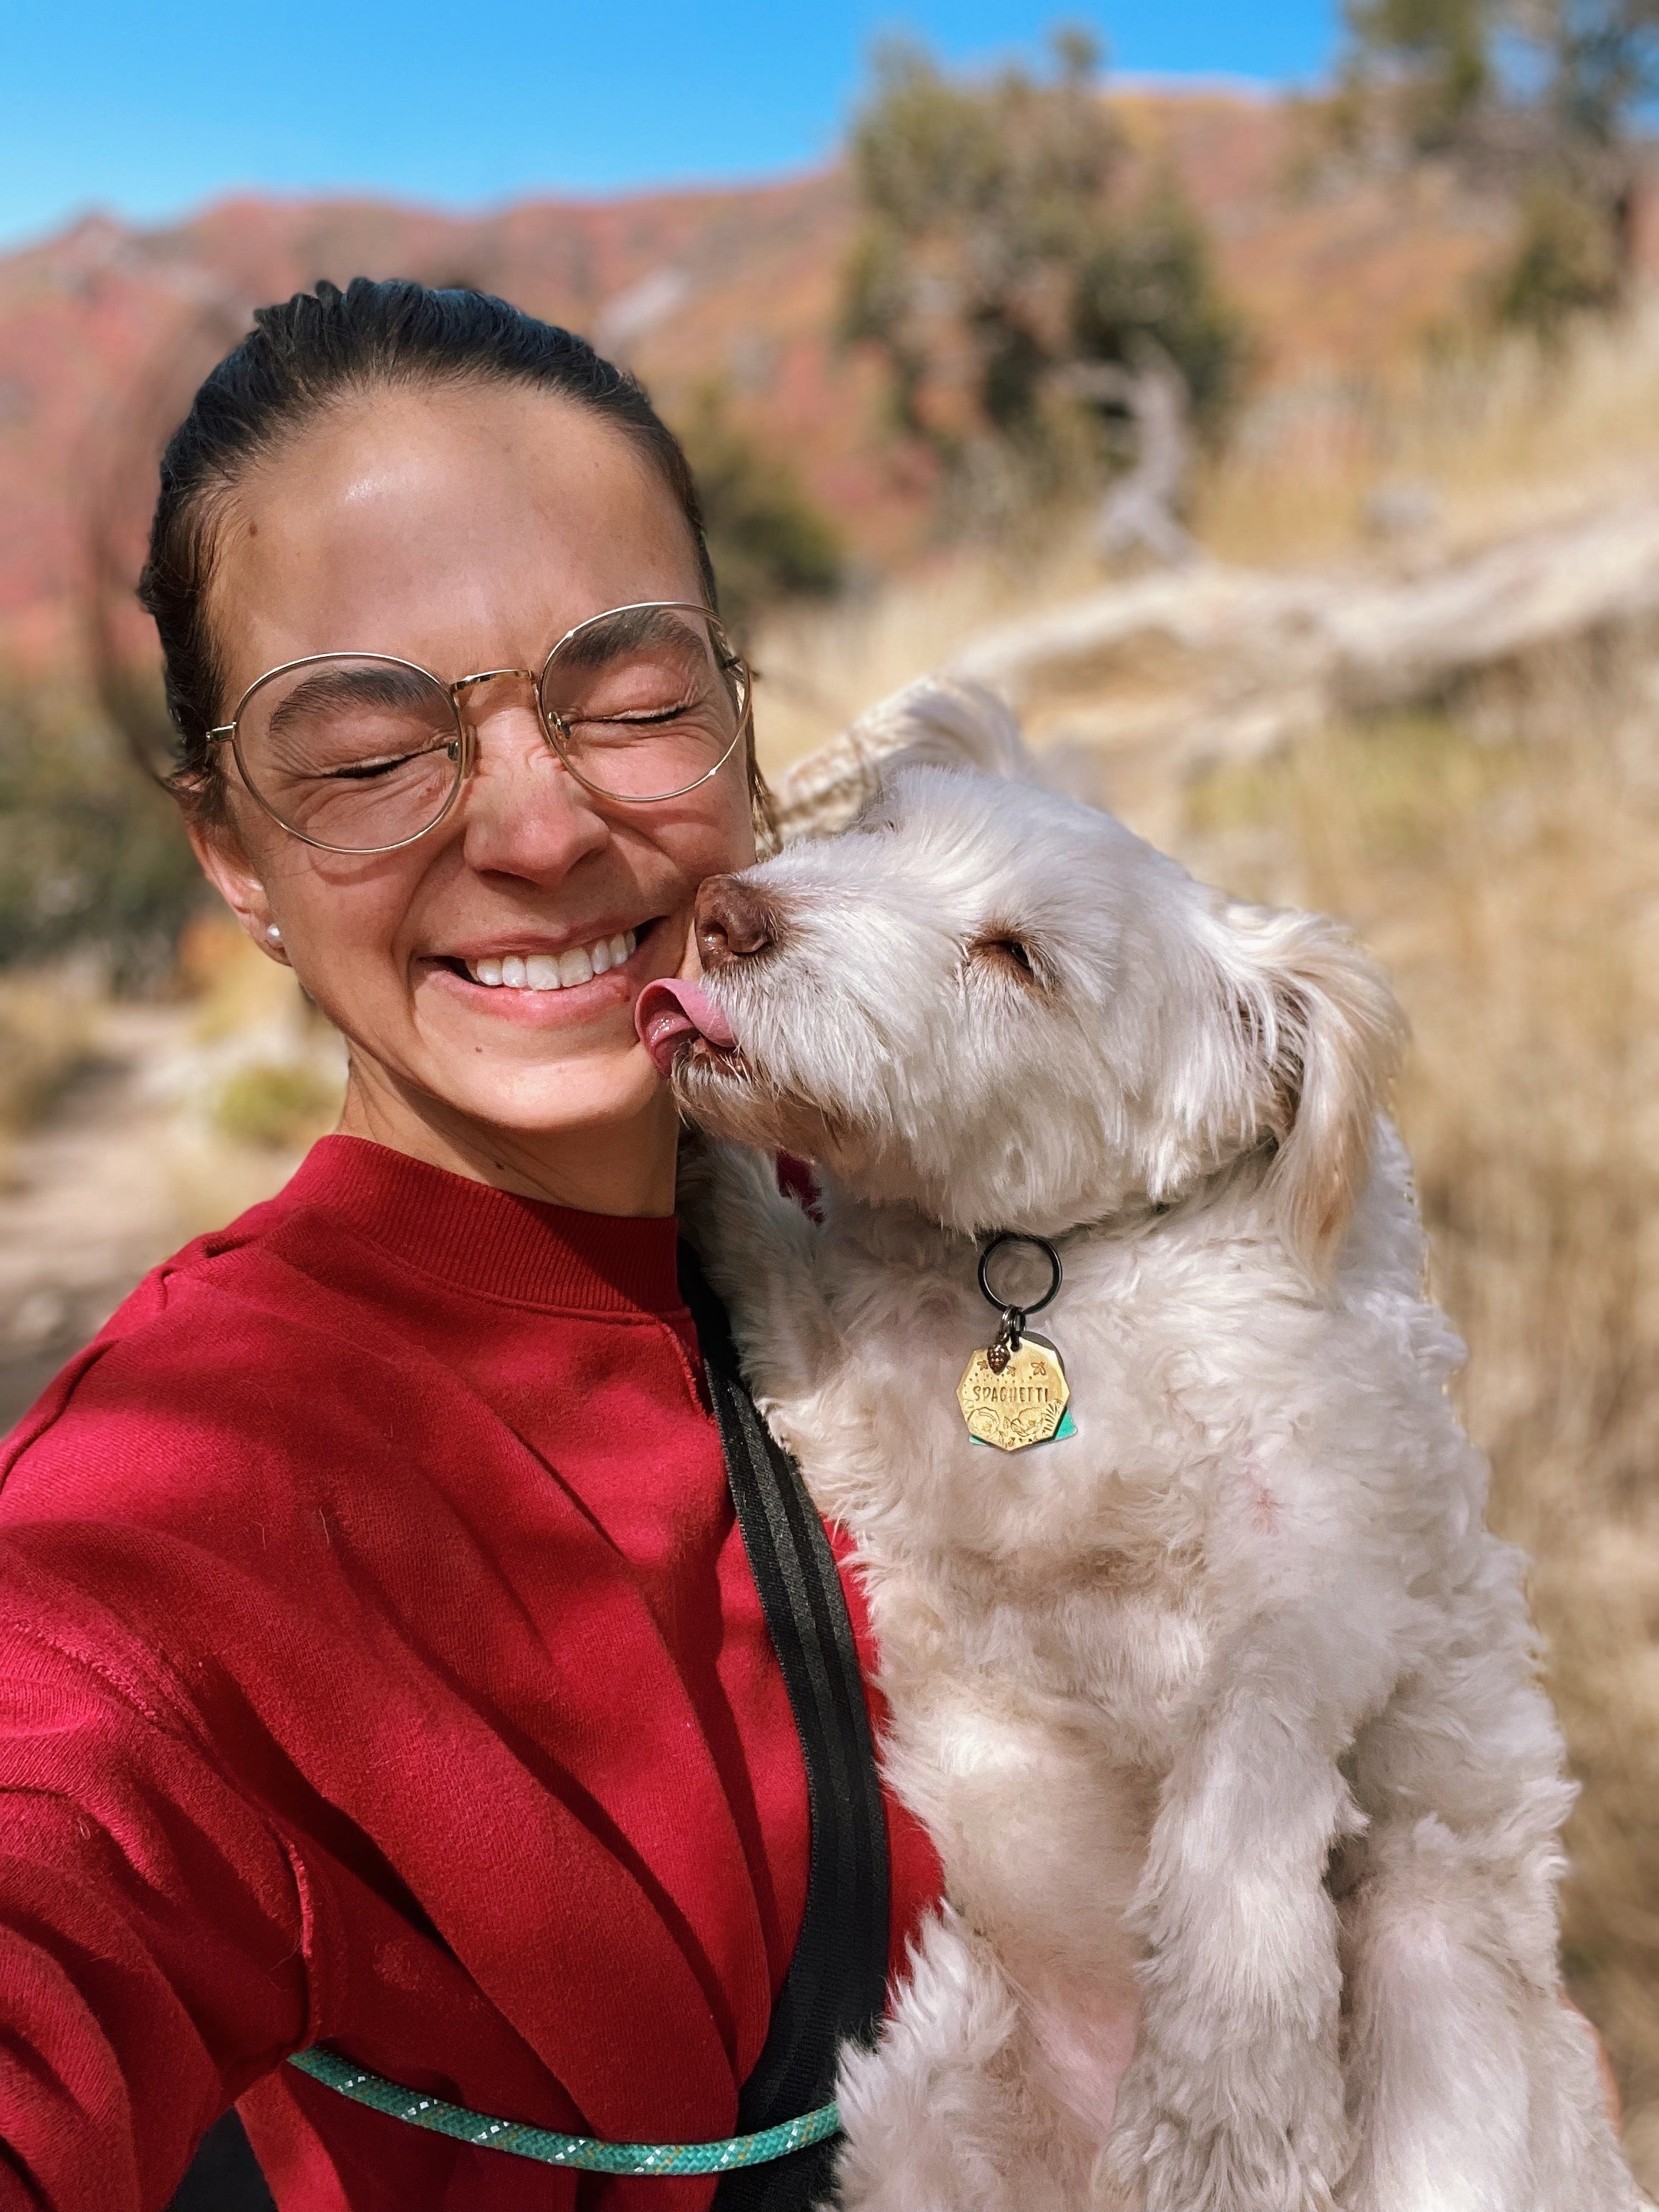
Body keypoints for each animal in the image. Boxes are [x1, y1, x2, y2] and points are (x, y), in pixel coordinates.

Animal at [641, 681, 1645, 2212]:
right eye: (882, 831)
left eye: (1018, 957)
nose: (727, 913)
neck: (1059, 1265)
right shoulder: (874, 1426)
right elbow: (789, 1291)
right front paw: (717, 1172)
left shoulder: (1332, 1574)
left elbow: (1242, 1784)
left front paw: (1224, 2094)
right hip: (919, 2097)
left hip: (1438, 1988)